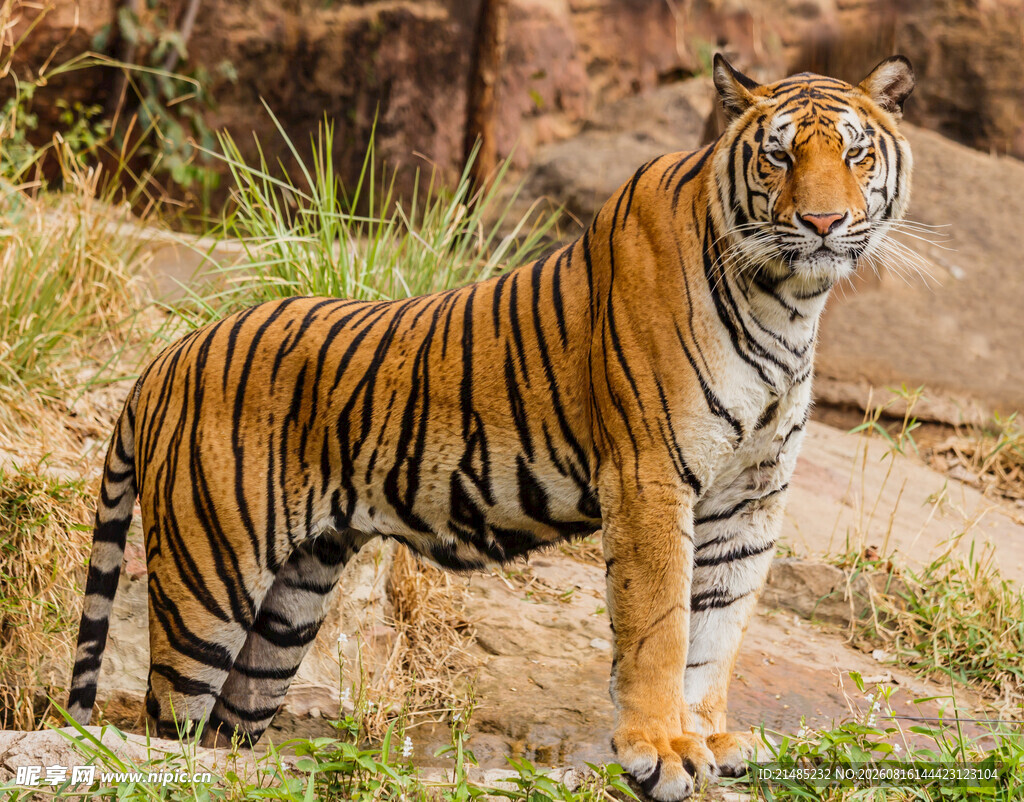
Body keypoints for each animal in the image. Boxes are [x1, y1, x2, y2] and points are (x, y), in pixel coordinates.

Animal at [68, 54, 914, 799]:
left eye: (855, 153)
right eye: (777, 157)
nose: (824, 221)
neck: (789, 301)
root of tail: (165, 358)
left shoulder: (751, 495)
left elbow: (718, 630)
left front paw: (706, 737)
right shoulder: (650, 476)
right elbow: (662, 626)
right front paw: (661, 751)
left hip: (288, 608)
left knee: (225, 731)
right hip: (207, 581)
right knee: (165, 724)